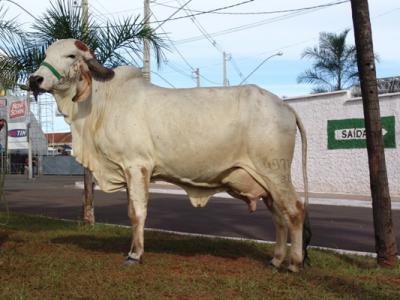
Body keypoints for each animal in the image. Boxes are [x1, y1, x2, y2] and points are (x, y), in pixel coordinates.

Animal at [28, 39, 310, 272]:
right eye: (46, 54)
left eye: (70, 55)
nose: (35, 80)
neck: (102, 103)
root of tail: (284, 106)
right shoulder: (128, 170)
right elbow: (132, 210)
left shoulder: (137, 166)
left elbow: (137, 212)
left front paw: (135, 255)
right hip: (266, 182)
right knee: (279, 216)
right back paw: (275, 260)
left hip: (275, 171)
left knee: (294, 210)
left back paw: (294, 263)